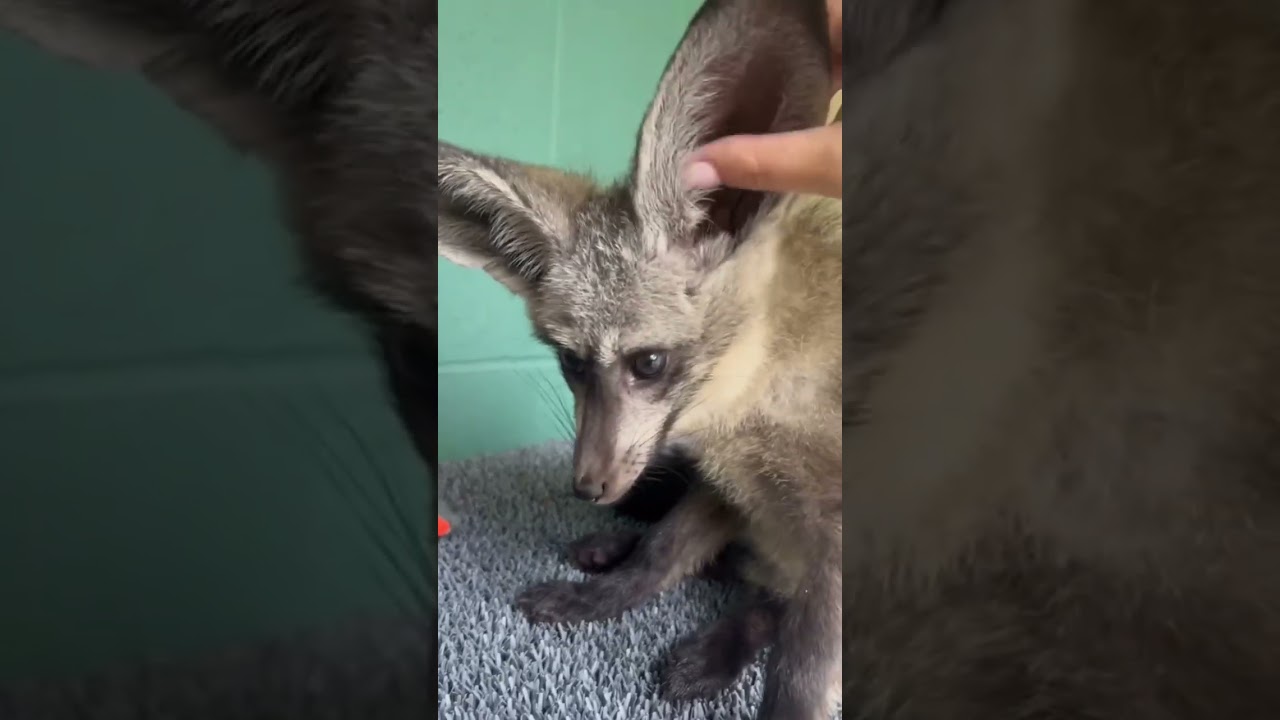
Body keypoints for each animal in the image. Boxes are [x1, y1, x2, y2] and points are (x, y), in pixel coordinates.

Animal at [437, 0, 841, 717]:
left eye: (648, 363)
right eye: (569, 362)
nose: (586, 487)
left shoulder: (836, 535)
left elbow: (800, 670)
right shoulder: (729, 484)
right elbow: (660, 552)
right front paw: (598, 598)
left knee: (766, 600)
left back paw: (713, 651)